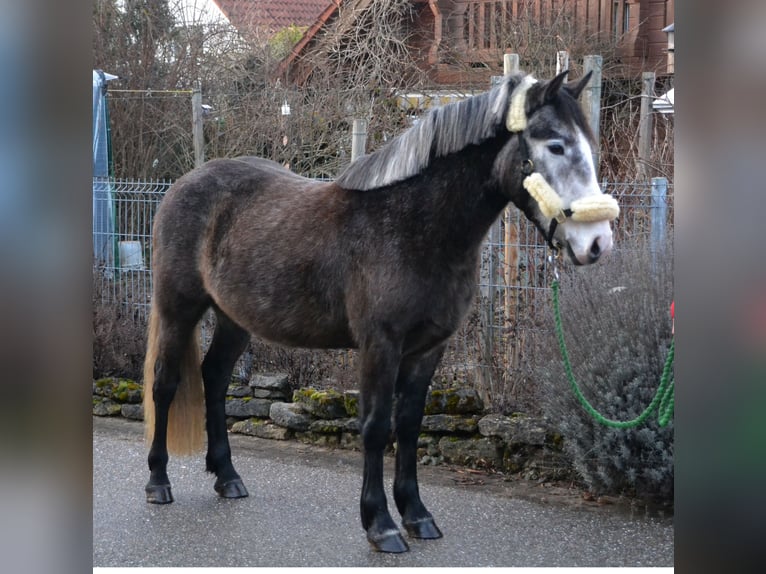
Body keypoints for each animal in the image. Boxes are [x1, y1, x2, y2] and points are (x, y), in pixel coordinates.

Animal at [142, 71, 619, 553]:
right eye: (555, 145)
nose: (597, 243)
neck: (414, 228)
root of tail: (183, 185)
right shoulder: (380, 346)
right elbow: (374, 427)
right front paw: (381, 525)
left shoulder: (428, 349)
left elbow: (407, 427)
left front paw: (417, 515)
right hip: (178, 309)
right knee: (165, 384)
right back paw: (158, 482)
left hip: (235, 319)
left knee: (216, 379)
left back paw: (227, 477)